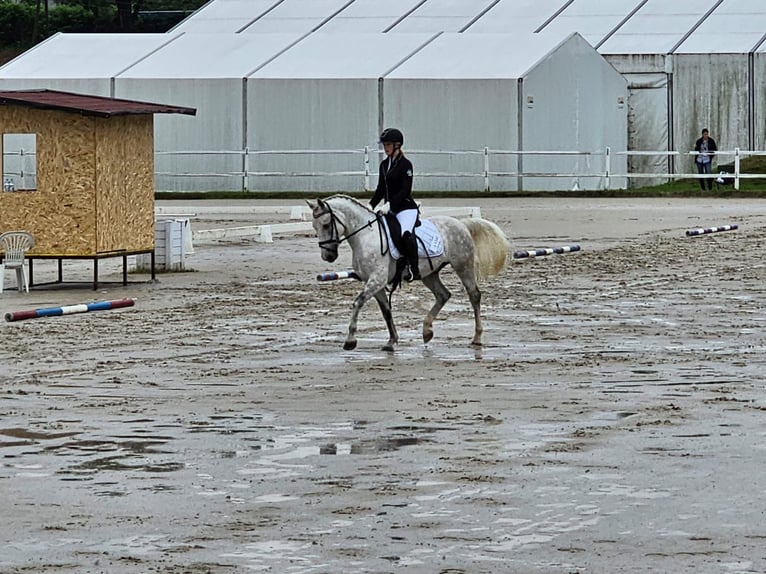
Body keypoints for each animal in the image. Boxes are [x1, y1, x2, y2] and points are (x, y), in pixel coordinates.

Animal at [308, 196, 512, 354]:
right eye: (314, 226)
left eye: (326, 224)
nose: (328, 256)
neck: (366, 236)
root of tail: (461, 223)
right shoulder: (375, 283)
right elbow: (386, 311)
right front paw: (392, 341)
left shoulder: (377, 279)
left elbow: (357, 303)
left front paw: (350, 341)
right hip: (429, 273)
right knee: (443, 295)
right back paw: (427, 331)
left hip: (463, 266)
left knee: (474, 295)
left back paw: (477, 337)